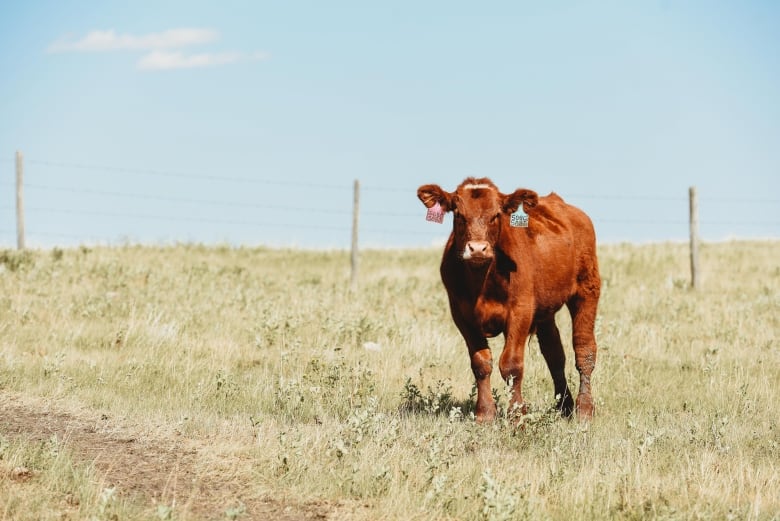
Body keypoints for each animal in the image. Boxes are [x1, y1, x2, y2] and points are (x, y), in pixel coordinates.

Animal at [418, 177, 600, 420]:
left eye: (496, 214)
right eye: (458, 213)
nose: (478, 249)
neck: (481, 282)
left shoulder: (520, 311)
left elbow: (511, 365)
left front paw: (517, 415)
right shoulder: (461, 315)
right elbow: (481, 362)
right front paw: (485, 414)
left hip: (587, 289)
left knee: (584, 349)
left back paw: (584, 409)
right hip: (545, 310)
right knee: (554, 353)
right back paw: (565, 405)